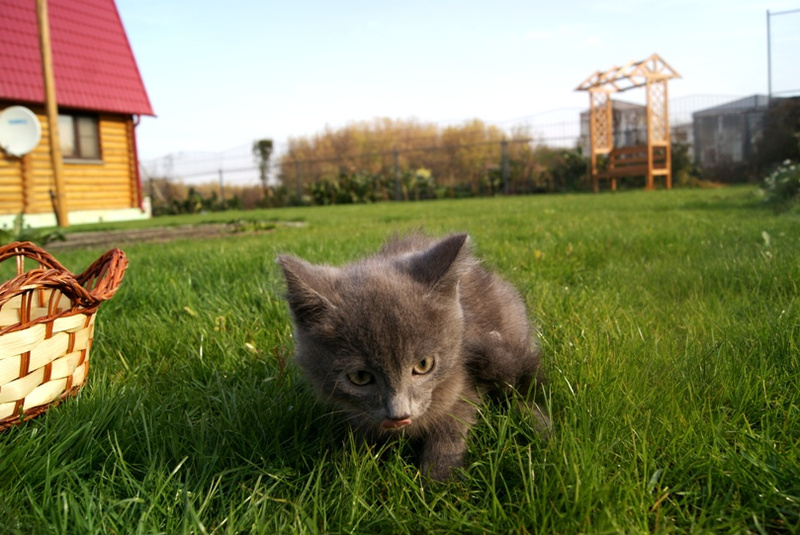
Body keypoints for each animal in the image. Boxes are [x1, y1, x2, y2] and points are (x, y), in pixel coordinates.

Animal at [277, 232, 547, 480]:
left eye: (424, 365)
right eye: (360, 377)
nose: (399, 415)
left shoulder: (463, 382)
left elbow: (452, 426)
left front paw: (440, 479)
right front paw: (353, 465)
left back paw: (538, 427)